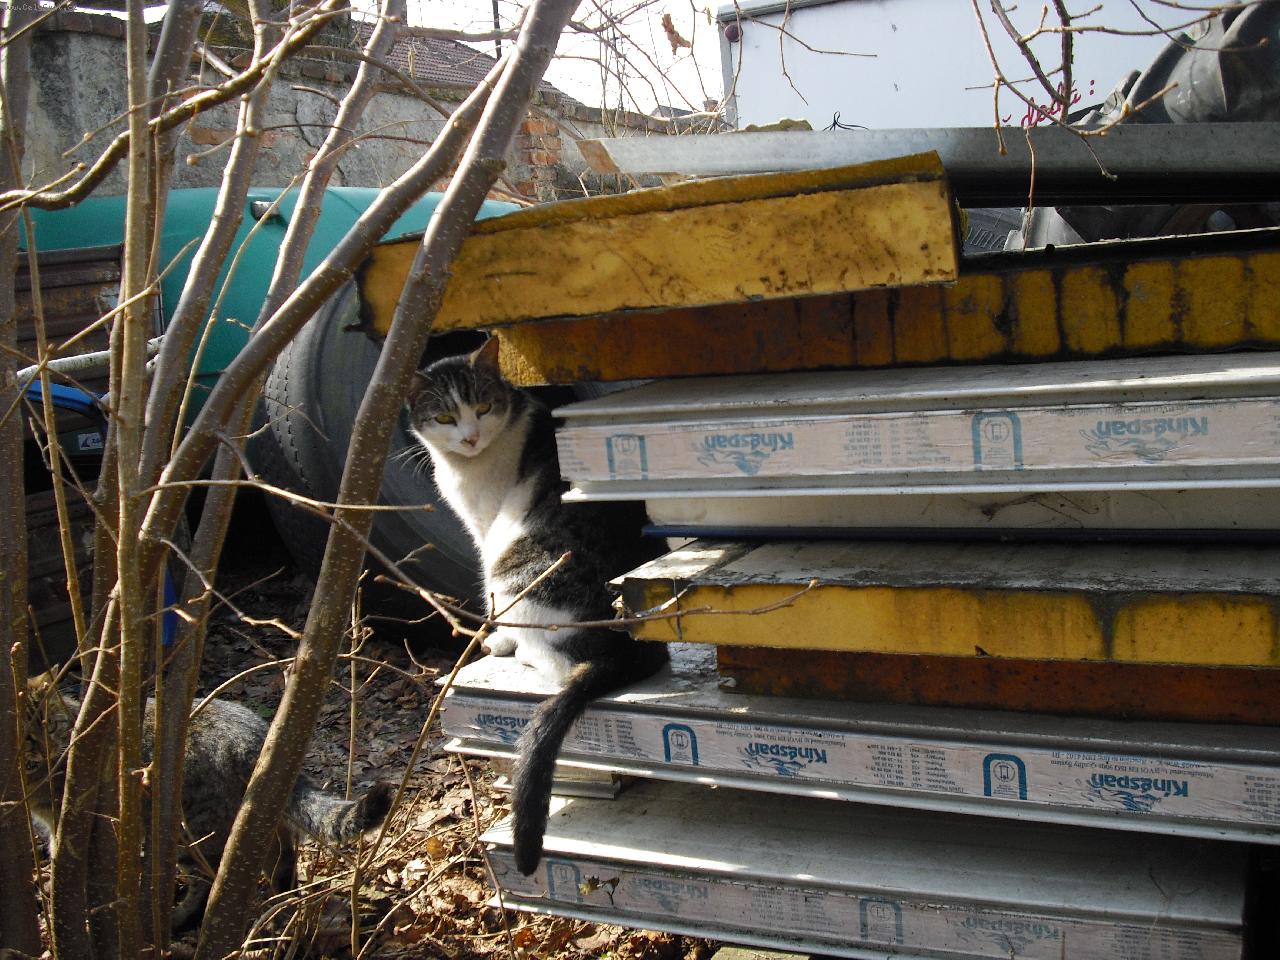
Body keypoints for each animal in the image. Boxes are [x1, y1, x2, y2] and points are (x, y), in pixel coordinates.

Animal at [24, 678, 393, 928]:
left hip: (191, 832)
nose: (40, 747)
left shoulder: (70, 821)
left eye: (50, 725)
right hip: (259, 816)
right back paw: (280, 903)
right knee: (280, 857)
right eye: (29, 734)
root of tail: (254, 739)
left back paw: (180, 918)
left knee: (209, 880)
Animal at [406, 337, 667, 875]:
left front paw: (497, 639)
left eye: (484, 407)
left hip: (515, 566)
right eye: (444, 417)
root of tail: (628, 648)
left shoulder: (484, 528)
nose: (469, 438)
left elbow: (489, 597)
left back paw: (520, 649)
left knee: (553, 656)